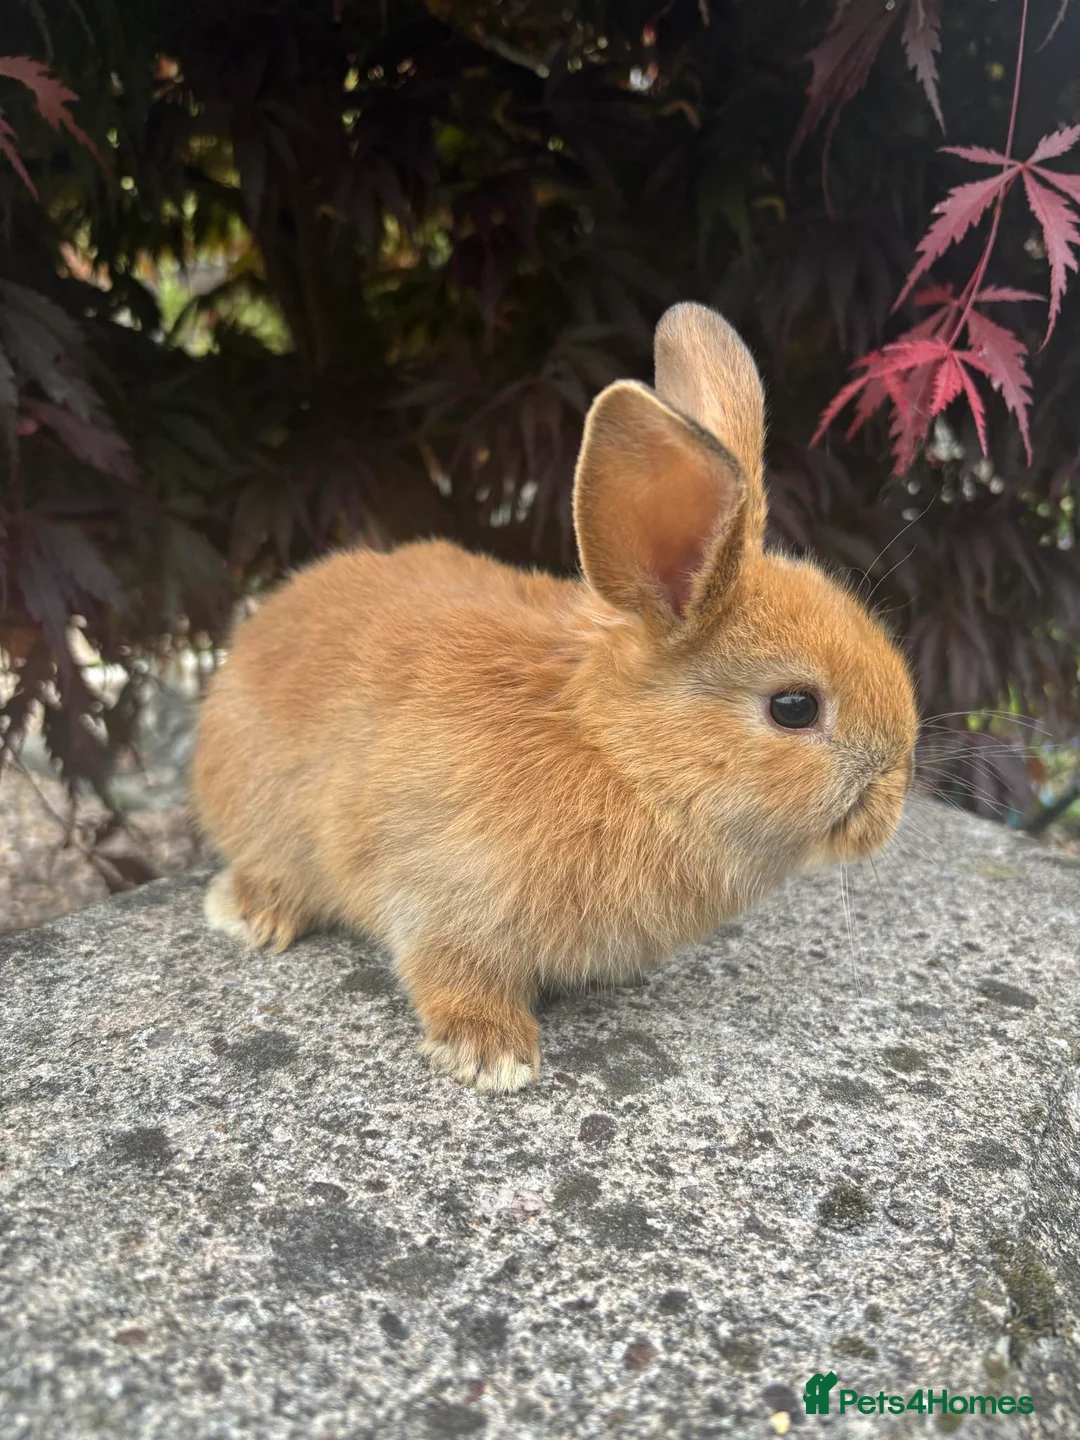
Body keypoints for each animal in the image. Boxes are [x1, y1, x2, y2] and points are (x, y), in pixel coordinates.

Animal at [192, 302, 917, 1094]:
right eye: (795, 708)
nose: (894, 798)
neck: (614, 752)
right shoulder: (443, 892)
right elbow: (447, 970)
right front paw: (492, 1055)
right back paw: (252, 914)